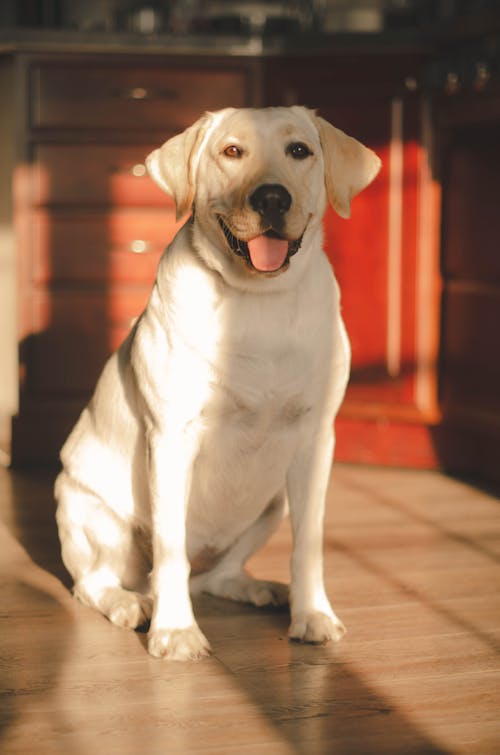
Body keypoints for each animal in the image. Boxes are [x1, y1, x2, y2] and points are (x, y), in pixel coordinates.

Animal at [53, 108, 378, 660]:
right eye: (231, 151)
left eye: (299, 150)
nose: (272, 198)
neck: (257, 299)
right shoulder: (170, 439)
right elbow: (169, 551)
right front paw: (175, 631)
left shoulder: (316, 441)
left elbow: (308, 544)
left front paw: (312, 614)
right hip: (92, 510)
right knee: (95, 583)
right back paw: (132, 603)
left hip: (272, 503)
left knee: (214, 577)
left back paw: (257, 588)